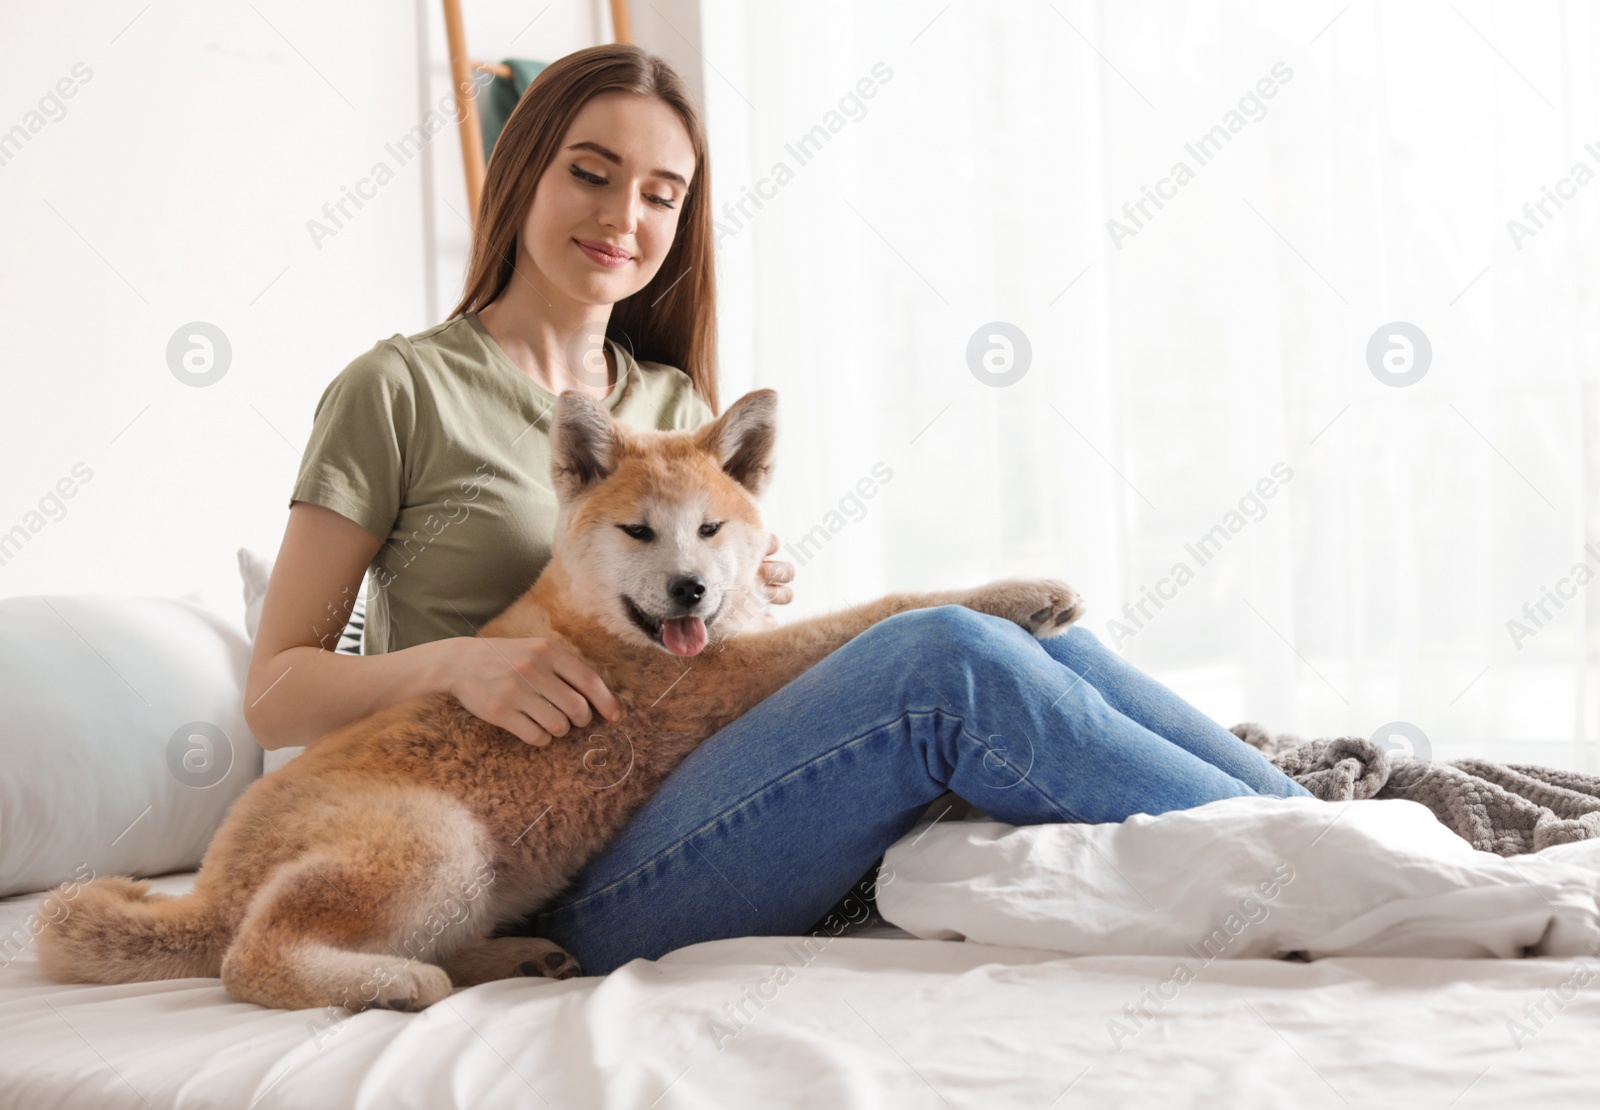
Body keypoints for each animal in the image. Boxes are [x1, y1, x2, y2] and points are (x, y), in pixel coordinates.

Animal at [34, 387, 1088, 1010]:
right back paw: (394, 982)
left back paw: (508, 962)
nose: (690, 591)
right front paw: (1014, 596)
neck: (595, 622)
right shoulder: (723, 677)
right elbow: (898, 606)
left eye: (709, 529)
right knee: (249, 961)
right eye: (639, 531)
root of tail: (208, 889)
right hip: (435, 844)